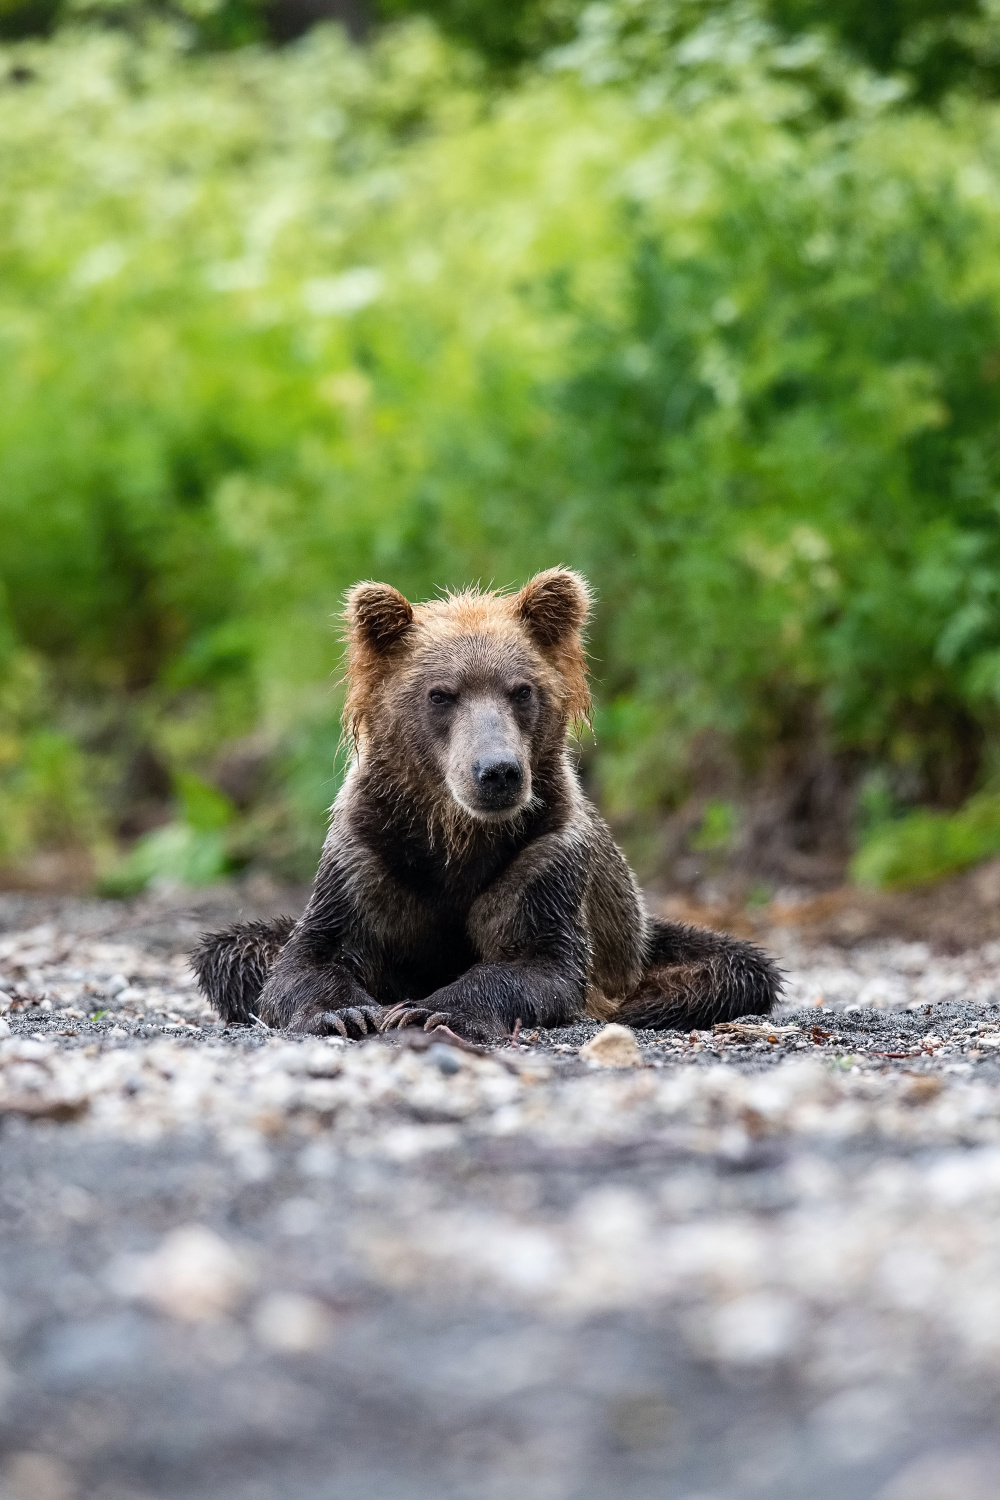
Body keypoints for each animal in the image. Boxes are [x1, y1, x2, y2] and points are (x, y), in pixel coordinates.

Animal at [191, 567, 779, 1038]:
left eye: (520, 690)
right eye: (440, 694)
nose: (497, 771)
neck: (456, 834)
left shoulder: (543, 853)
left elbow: (537, 960)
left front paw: (432, 1010)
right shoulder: (368, 851)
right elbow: (305, 958)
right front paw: (343, 1012)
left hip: (636, 940)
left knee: (732, 969)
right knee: (234, 950)